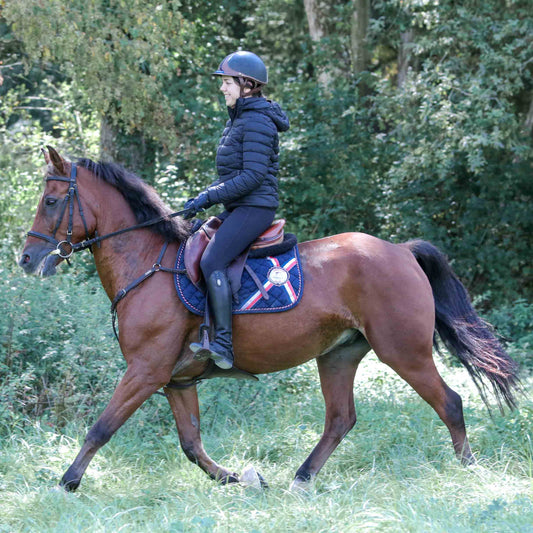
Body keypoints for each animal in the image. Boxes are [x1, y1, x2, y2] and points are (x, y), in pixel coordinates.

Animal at [18, 145, 516, 490]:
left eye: (50, 201)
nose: (26, 259)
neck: (146, 263)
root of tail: (401, 250)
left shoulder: (146, 370)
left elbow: (101, 428)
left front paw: (66, 483)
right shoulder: (176, 379)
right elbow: (191, 444)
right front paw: (241, 479)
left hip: (403, 351)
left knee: (450, 403)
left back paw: (471, 473)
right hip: (338, 356)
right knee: (340, 420)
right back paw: (300, 479)